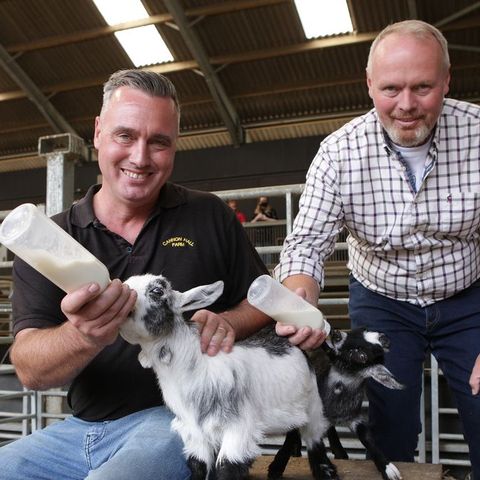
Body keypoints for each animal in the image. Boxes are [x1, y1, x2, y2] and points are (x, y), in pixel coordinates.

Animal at [268, 328, 404, 480]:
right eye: (356, 332)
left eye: (361, 355)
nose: (336, 334)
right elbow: (293, 437)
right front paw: (276, 468)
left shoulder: (353, 415)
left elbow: (366, 436)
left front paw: (388, 468)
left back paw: (339, 451)